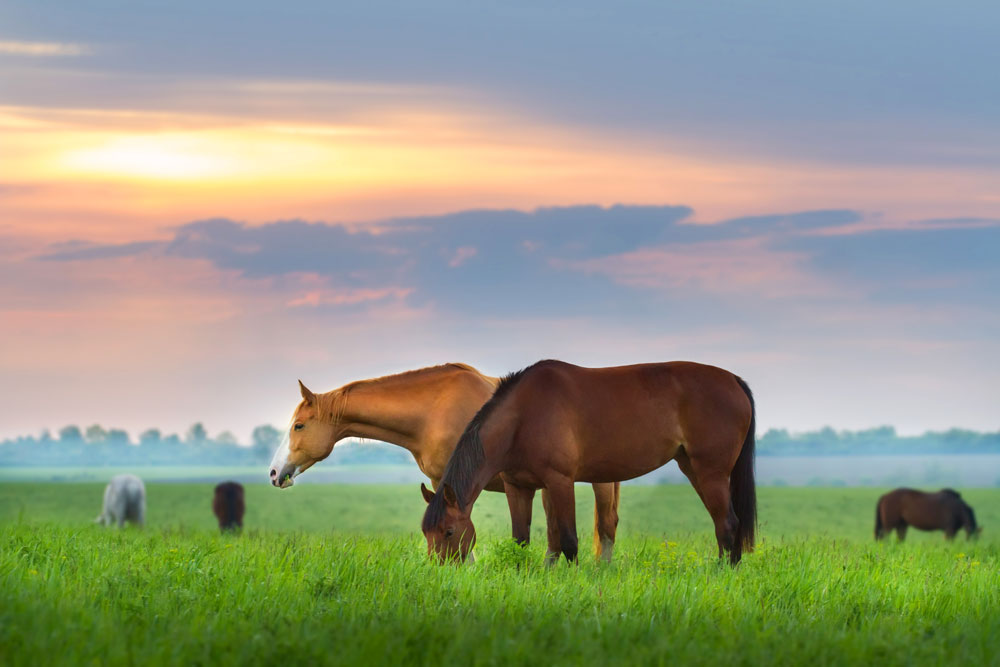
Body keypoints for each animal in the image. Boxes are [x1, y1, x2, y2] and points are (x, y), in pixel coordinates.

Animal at [422, 362, 756, 568]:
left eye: (449, 531)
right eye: (426, 532)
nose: (439, 570)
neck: (523, 416)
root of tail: (734, 380)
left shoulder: (559, 481)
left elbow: (568, 539)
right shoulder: (518, 487)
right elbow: (520, 540)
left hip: (711, 473)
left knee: (728, 524)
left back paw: (724, 574)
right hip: (694, 469)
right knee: (724, 524)